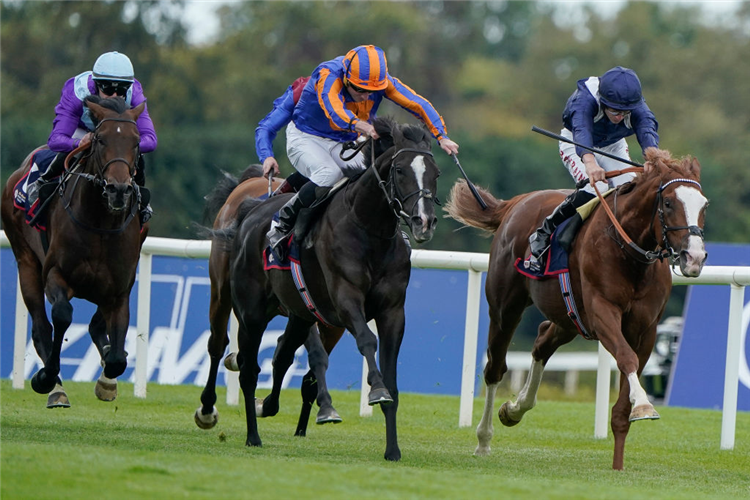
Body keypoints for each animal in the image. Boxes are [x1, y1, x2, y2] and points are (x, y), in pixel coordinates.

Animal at [0, 96, 147, 406]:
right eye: (100, 140)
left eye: (137, 141)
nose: (118, 190)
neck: (100, 224)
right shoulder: (56, 274)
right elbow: (62, 315)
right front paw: (46, 377)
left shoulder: (120, 288)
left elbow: (117, 357)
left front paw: (107, 379)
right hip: (25, 260)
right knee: (41, 327)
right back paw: (54, 387)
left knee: (96, 329)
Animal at [194, 166, 346, 436]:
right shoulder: (301, 304)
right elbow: (312, 355)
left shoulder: (332, 323)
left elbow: (303, 365)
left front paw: (305, 425)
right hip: (222, 289)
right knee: (217, 343)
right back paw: (207, 408)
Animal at [223, 117, 440, 460]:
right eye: (400, 170)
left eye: (436, 173)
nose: (423, 221)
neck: (369, 231)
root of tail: (250, 213)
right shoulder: (345, 299)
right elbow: (366, 341)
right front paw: (375, 390)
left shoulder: (393, 311)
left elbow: (392, 380)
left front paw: (392, 449)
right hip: (251, 313)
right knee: (248, 370)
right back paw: (253, 435)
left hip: (300, 314)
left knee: (282, 356)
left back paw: (267, 406)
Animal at [446, 147, 712, 468]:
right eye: (670, 202)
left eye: (704, 205)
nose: (694, 257)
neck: (629, 251)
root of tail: (516, 203)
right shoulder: (602, 312)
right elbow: (626, 358)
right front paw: (644, 404)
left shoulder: (645, 329)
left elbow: (624, 397)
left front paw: (619, 462)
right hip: (505, 309)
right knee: (495, 367)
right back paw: (484, 440)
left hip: (568, 317)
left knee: (542, 341)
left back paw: (515, 408)